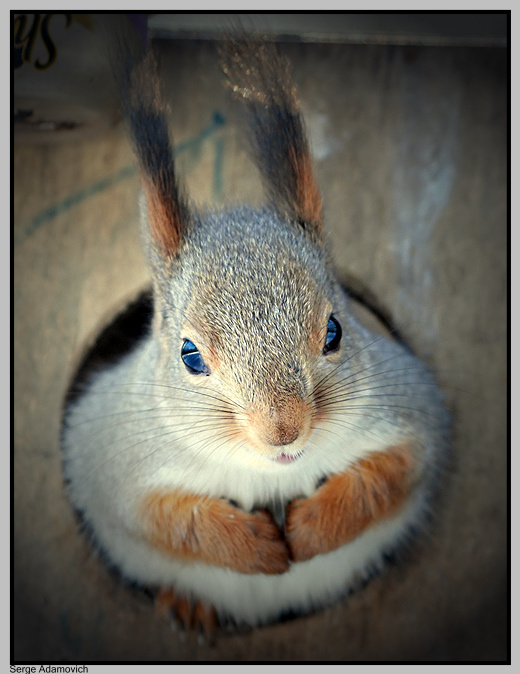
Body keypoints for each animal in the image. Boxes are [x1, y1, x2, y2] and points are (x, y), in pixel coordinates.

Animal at [62, 38, 451, 637]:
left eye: (334, 330)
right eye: (190, 356)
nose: (283, 431)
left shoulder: (411, 409)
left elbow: (390, 475)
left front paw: (312, 528)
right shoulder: (109, 453)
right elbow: (160, 517)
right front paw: (253, 547)